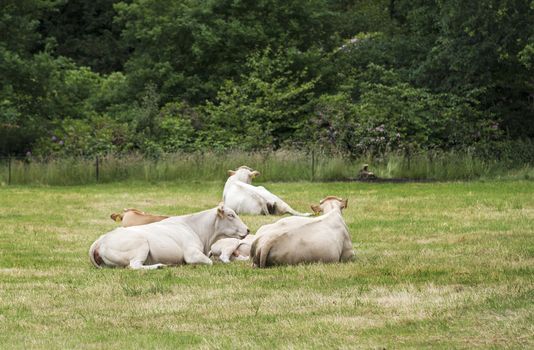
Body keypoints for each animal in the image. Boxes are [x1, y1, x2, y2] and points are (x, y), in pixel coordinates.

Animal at [90, 204, 251, 270]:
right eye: (231, 215)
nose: (248, 230)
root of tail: (101, 239)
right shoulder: (192, 254)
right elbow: (210, 262)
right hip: (141, 246)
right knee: (134, 266)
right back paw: (159, 266)